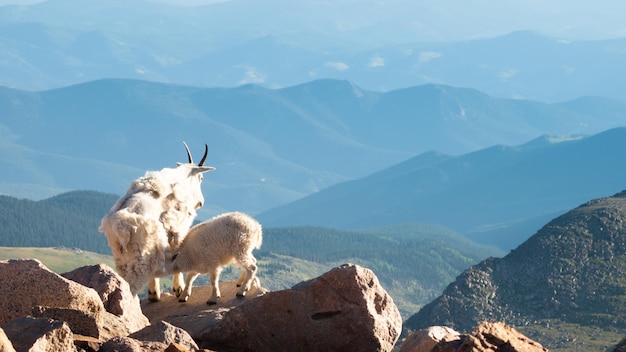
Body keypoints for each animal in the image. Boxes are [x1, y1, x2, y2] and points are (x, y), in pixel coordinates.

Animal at [98, 142, 214, 302]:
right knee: (132, 285)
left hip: (122, 257)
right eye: (201, 178)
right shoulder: (179, 227)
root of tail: (121, 228)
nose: (201, 202)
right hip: (140, 258)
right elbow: (177, 250)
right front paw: (179, 289)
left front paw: (154, 294)